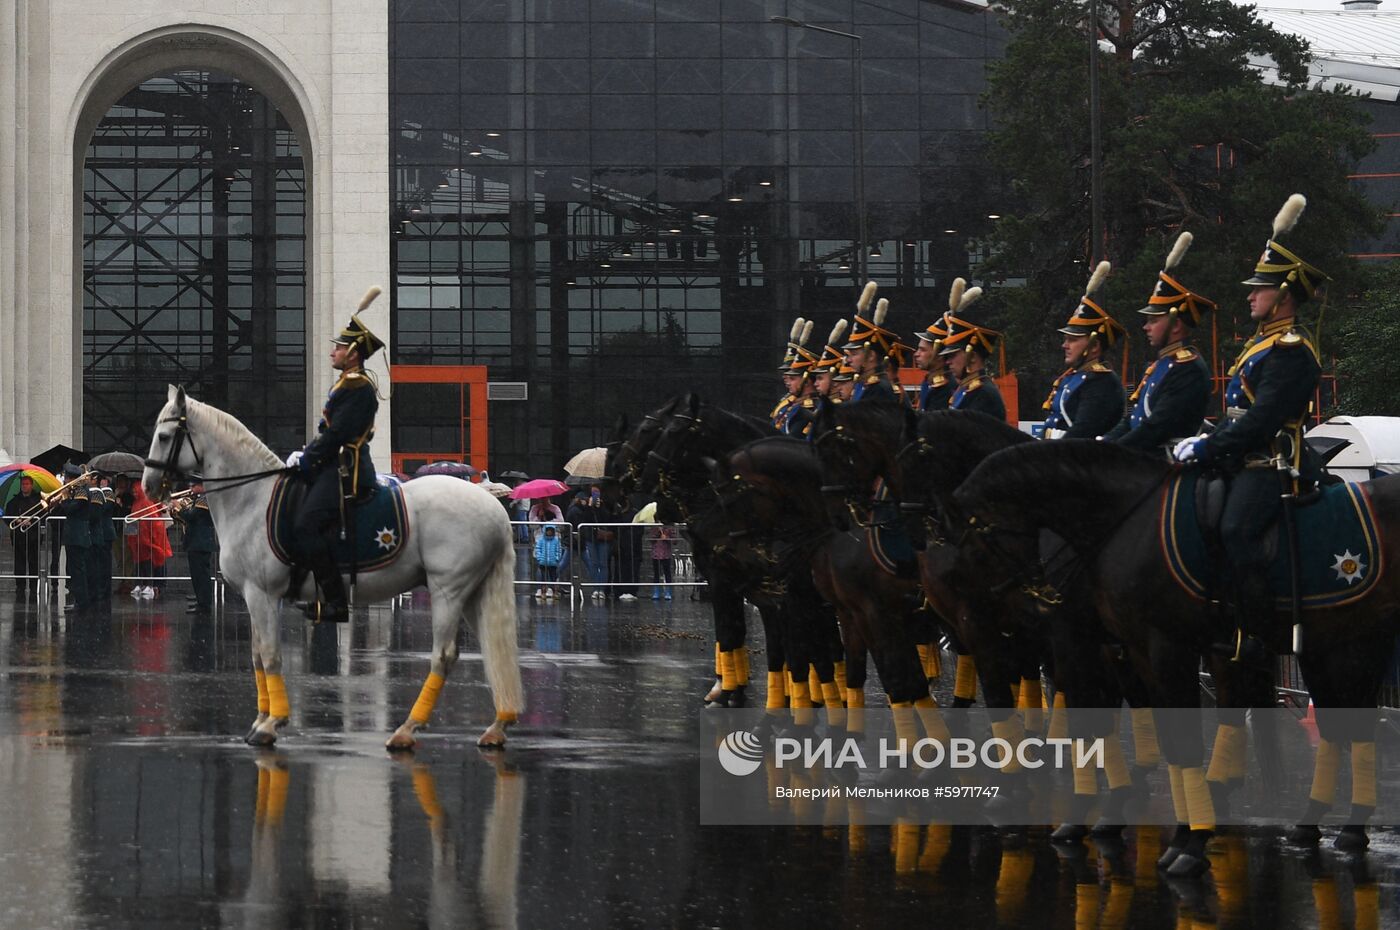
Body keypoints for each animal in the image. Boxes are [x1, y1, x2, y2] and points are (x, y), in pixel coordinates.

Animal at [142, 383, 526, 750]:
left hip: (449, 590)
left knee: (443, 655)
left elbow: (269, 656)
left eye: (164, 436)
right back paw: (497, 726)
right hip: (474, 592)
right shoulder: (257, 598)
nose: (148, 487)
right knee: (493, 649)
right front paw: (261, 720)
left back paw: (406, 731)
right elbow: (257, 656)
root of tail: (494, 508)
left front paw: (271, 724)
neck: (251, 498)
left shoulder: (262, 594)